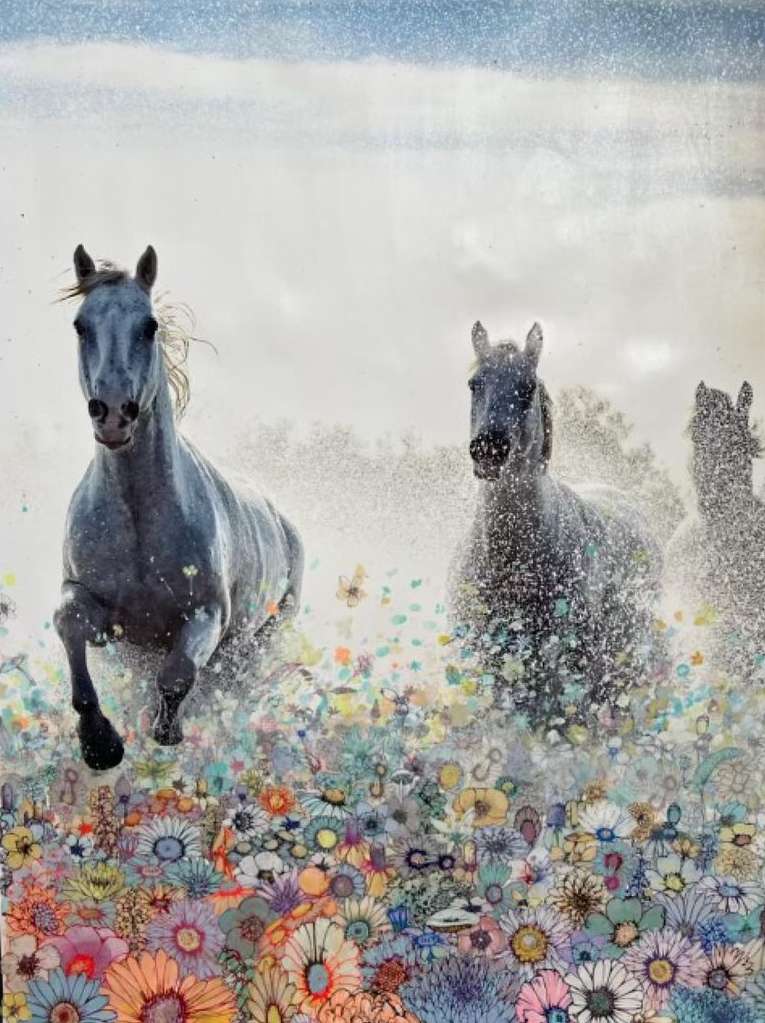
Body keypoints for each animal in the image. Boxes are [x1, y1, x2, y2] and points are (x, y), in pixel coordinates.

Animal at [53, 245, 304, 771]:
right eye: (80, 325)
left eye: (149, 326)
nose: (113, 413)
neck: (138, 526)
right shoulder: (96, 611)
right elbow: (69, 624)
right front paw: (100, 742)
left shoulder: (205, 616)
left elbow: (178, 675)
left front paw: (166, 732)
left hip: (254, 647)